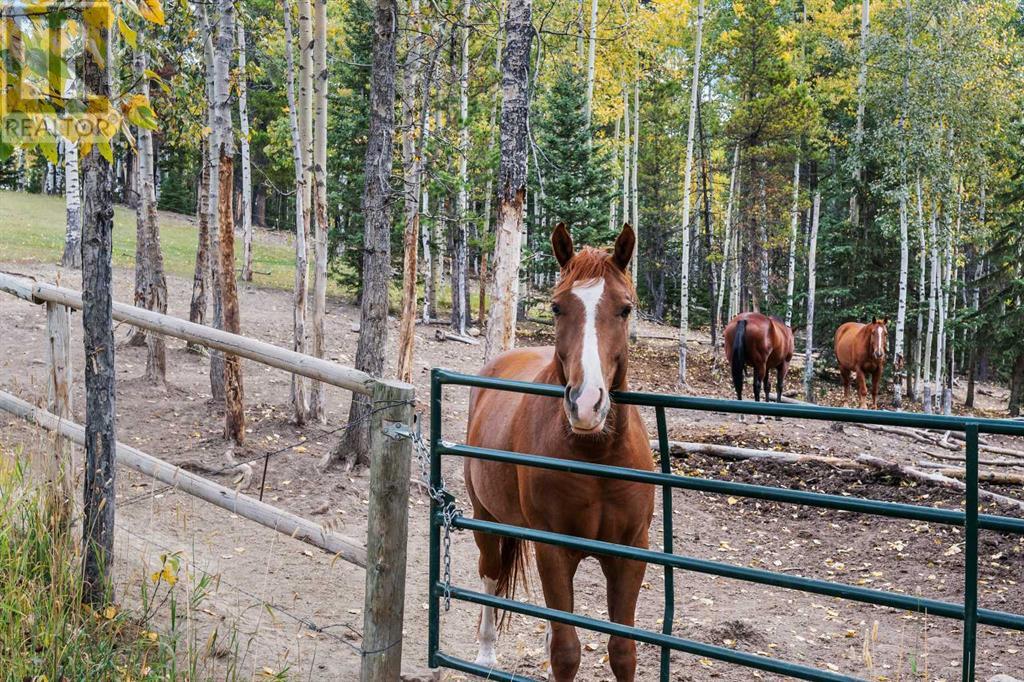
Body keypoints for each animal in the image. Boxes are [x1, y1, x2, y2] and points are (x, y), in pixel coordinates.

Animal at [466, 224, 651, 679]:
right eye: (556, 307)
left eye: (625, 309)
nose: (586, 403)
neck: (599, 457)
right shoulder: (552, 549)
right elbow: (568, 653)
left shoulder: (630, 552)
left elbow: (622, 651)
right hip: (485, 520)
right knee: (490, 577)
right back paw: (486, 653)